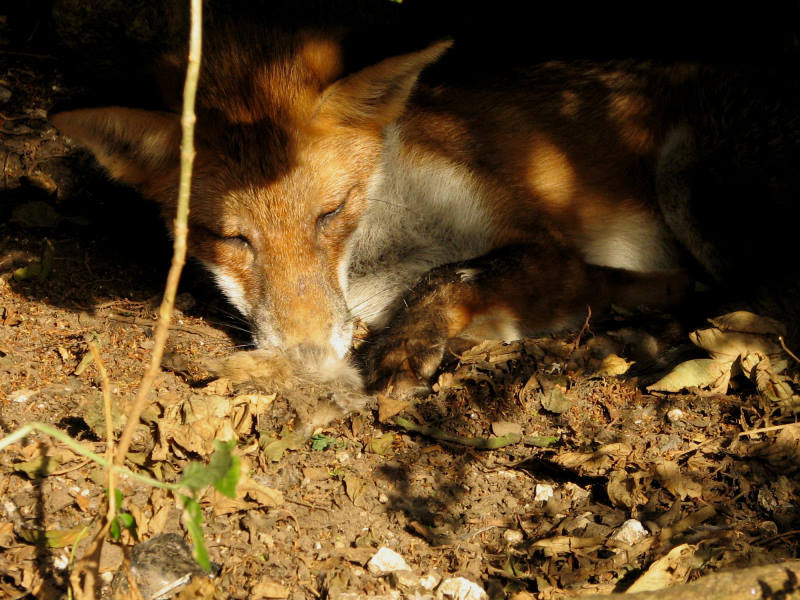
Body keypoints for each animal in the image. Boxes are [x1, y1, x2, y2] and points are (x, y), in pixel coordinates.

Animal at [51, 24, 800, 398]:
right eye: (232, 239)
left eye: (330, 213)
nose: (308, 357)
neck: (386, 242)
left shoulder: (544, 245)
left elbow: (453, 276)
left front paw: (411, 342)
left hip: (687, 185)